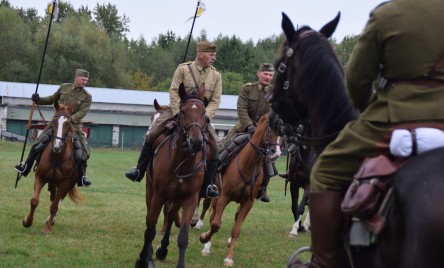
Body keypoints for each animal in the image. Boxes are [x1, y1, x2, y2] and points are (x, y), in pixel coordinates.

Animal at [23, 99, 81, 233]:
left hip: (67, 185)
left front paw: (47, 228)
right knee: (53, 197)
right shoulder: (40, 178)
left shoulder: (64, 184)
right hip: (52, 184)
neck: (56, 158)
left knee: (57, 201)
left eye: (68, 123)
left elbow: (54, 206)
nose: (57, 146)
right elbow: (34, 201)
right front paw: (27, 221)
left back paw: (51, 220)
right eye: (54, 121)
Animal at [136, 85, 209, 268]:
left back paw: (163, 249)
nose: (196, 142)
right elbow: (150, 229)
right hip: (150, 191)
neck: (182, 163)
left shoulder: (189, 199)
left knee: (170, 215)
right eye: (183, 111)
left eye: (204, 112)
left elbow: (183, 236)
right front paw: (145, 259)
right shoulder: (159, 195)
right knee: (151, 219)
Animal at [199, 114, 282, 266]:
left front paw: (229, 257)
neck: (248, 165)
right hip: (216, 196)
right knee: (212, 217)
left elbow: (236, 229)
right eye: (270, 128)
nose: (276, 153)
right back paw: (206, 245)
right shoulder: (223, 197)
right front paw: (204, 239)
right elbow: (215, 224)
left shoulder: (248, 203)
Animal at [268, 12, 444, 268]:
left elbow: (303, 205)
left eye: (277, 65)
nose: (272, 118)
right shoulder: (294, 182)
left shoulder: (312, 183)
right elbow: (296, 206)